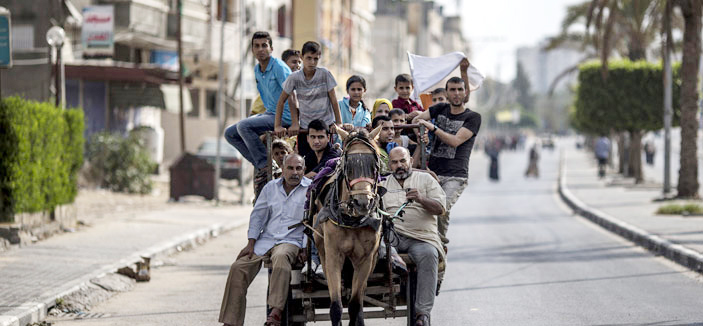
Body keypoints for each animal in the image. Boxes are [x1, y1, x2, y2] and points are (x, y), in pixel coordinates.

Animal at [310, 125, 382, 326]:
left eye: (375, 166)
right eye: (348, 166)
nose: (362, 203)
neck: (352, 220)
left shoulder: (366, 259)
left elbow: (355, 305)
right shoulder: (333, 255)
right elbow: (336, 306)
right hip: (322, 249)